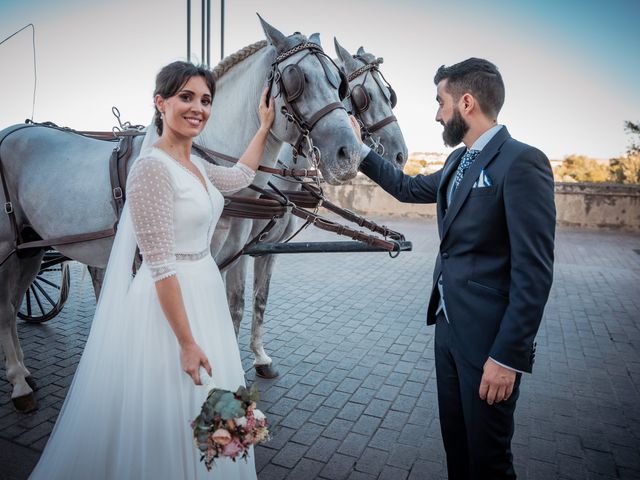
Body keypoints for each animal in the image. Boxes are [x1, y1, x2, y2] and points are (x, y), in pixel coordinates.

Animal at [0, 16, 360, 410]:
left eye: (338, 81)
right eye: (297, 80)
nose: (350, 153)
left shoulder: (236, 253)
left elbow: (236, 308)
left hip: (30, 248)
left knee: (14, 302)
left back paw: (23, 374)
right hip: (6, 248)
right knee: (4, 308)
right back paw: (18, 383)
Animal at [225, 38, 408, 378]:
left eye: (389, 96)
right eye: (362, 96)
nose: (402, 154)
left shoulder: (268, 248)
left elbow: (260, 298)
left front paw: (260, 357)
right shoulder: (240, 249)